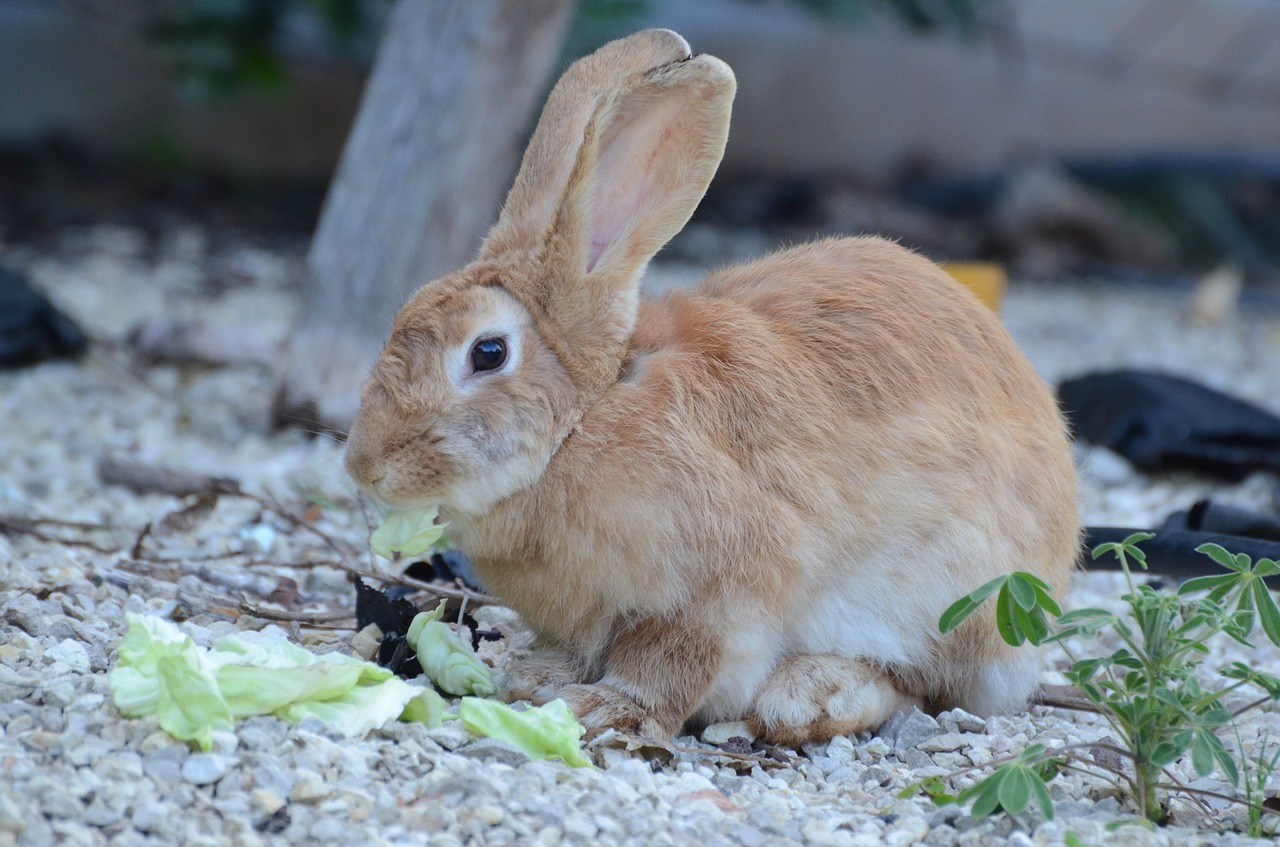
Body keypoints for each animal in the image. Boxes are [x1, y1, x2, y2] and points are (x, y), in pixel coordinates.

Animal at [343, 29, 1080, 742]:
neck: (586, 419)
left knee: (920, 684)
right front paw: (537, 677)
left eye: (488, 352)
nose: (363, 466)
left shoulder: (720, 589)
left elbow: (672, 658)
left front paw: (606, 709)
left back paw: (810, 698)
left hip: (955, 601)